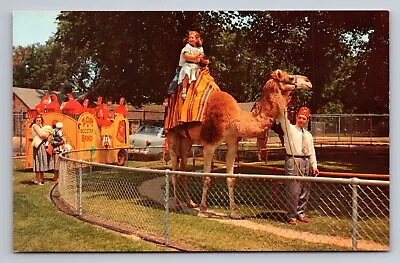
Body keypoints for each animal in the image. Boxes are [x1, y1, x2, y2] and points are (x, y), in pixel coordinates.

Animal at [166, 69, 312, 220]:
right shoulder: (209, 145)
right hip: (172, 135)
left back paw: (190, 202)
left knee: (182, 169)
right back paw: (177, 204)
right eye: (290, 77)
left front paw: (234, 213)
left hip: (186, 141)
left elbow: (231, 178)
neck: (235, 118)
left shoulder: (232, 143)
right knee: (173, 169)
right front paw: (202, 210)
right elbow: (206, 177)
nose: (308, 81)